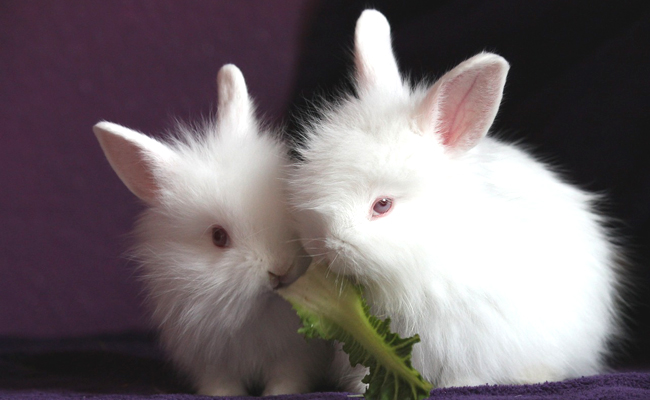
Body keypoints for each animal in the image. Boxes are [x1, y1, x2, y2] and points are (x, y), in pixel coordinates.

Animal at [92, 64, 352, 396]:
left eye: (287, 209)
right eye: (218, 237)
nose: (280, 270)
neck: (254, 313)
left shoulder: (295, 356)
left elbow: (287, 377)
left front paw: (279, 393)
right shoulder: (209, 359)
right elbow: (221, 382)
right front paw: (226, 394)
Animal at [290, 10, 624, 390]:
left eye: (382, 205)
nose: (325, 248)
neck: (431, 251)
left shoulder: (473, 340)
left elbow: (466, 371)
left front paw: (459, 386)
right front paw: (358, 391)